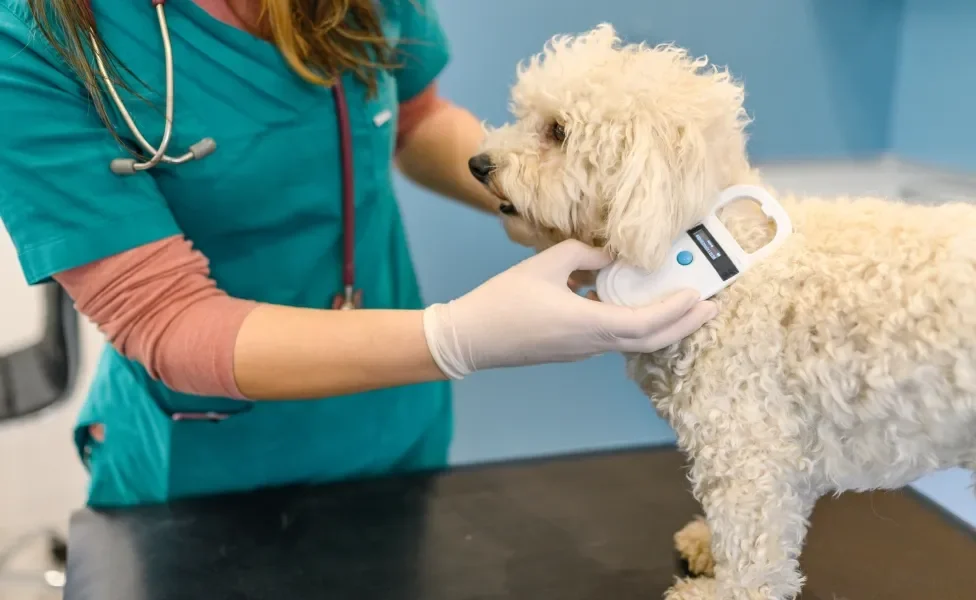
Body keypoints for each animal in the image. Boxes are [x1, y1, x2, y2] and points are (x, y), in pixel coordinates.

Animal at [468, 23, 972, 600]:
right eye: (525, 115)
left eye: (558, 131)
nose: (477, 164)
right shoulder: (781, 445)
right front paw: (708, 544)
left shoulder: (746, 441)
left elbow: (754, 548)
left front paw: (721, 590)